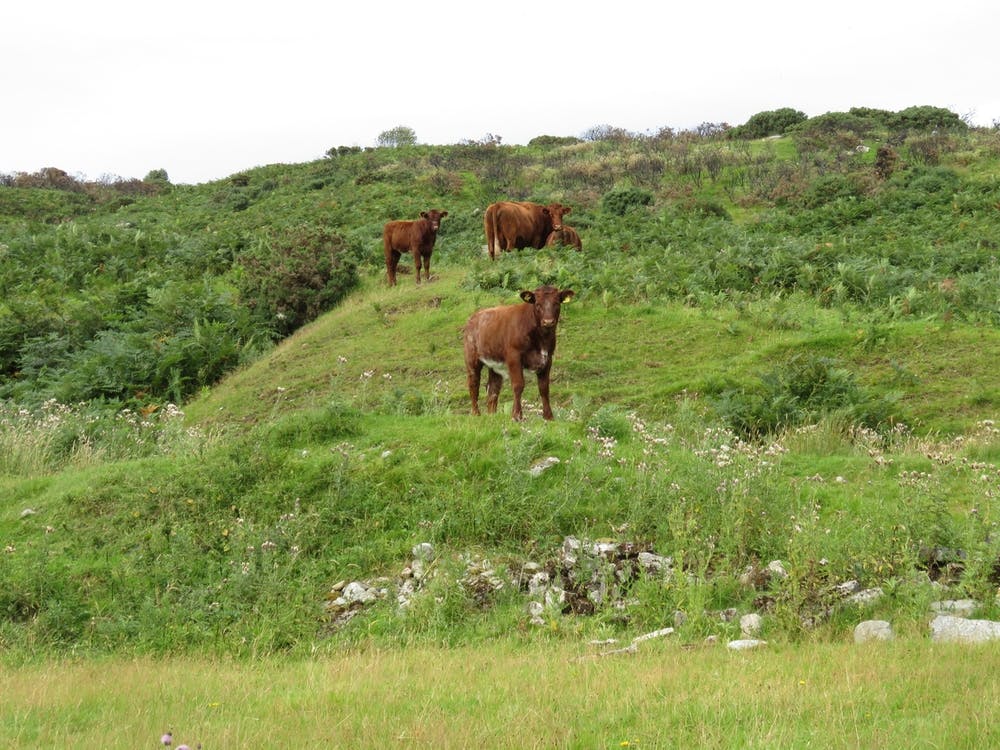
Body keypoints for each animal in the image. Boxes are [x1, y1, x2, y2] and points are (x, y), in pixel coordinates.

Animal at [463, 285, 575, 421]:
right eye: (537, 304)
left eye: (556, 303)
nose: (548, 322)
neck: (541, 339)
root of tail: (474, 317)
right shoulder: (514, 356)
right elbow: (518, 385)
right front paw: (516, 415)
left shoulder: (548, 358)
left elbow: (544, 388)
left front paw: (549, 416)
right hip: (471, 357)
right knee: (474, 384)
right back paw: (476, 414)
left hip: (495, 364)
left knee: (493, 390)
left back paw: (492, 416)